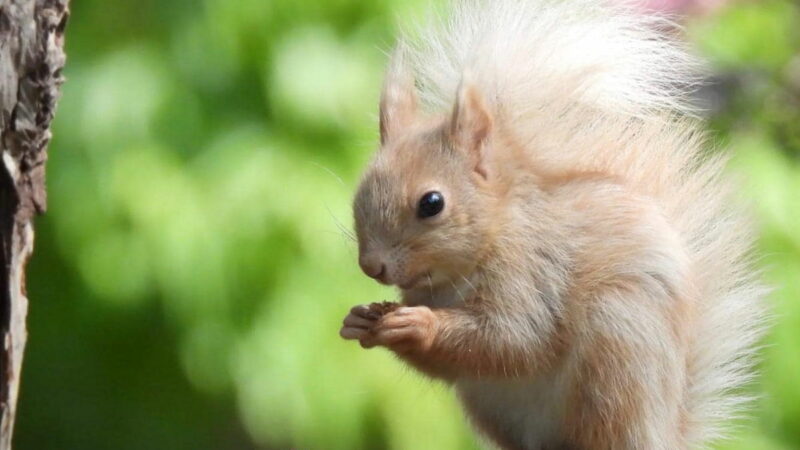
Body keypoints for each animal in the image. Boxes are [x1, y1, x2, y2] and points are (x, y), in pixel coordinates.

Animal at [338, 1, 768, 448]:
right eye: (360, 191)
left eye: (432, 203)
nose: (371, 266)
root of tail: (662, 432)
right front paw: (363, 318)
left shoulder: (536, 276)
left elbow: (514, 339)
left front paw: (416, 322)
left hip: (615, 356)